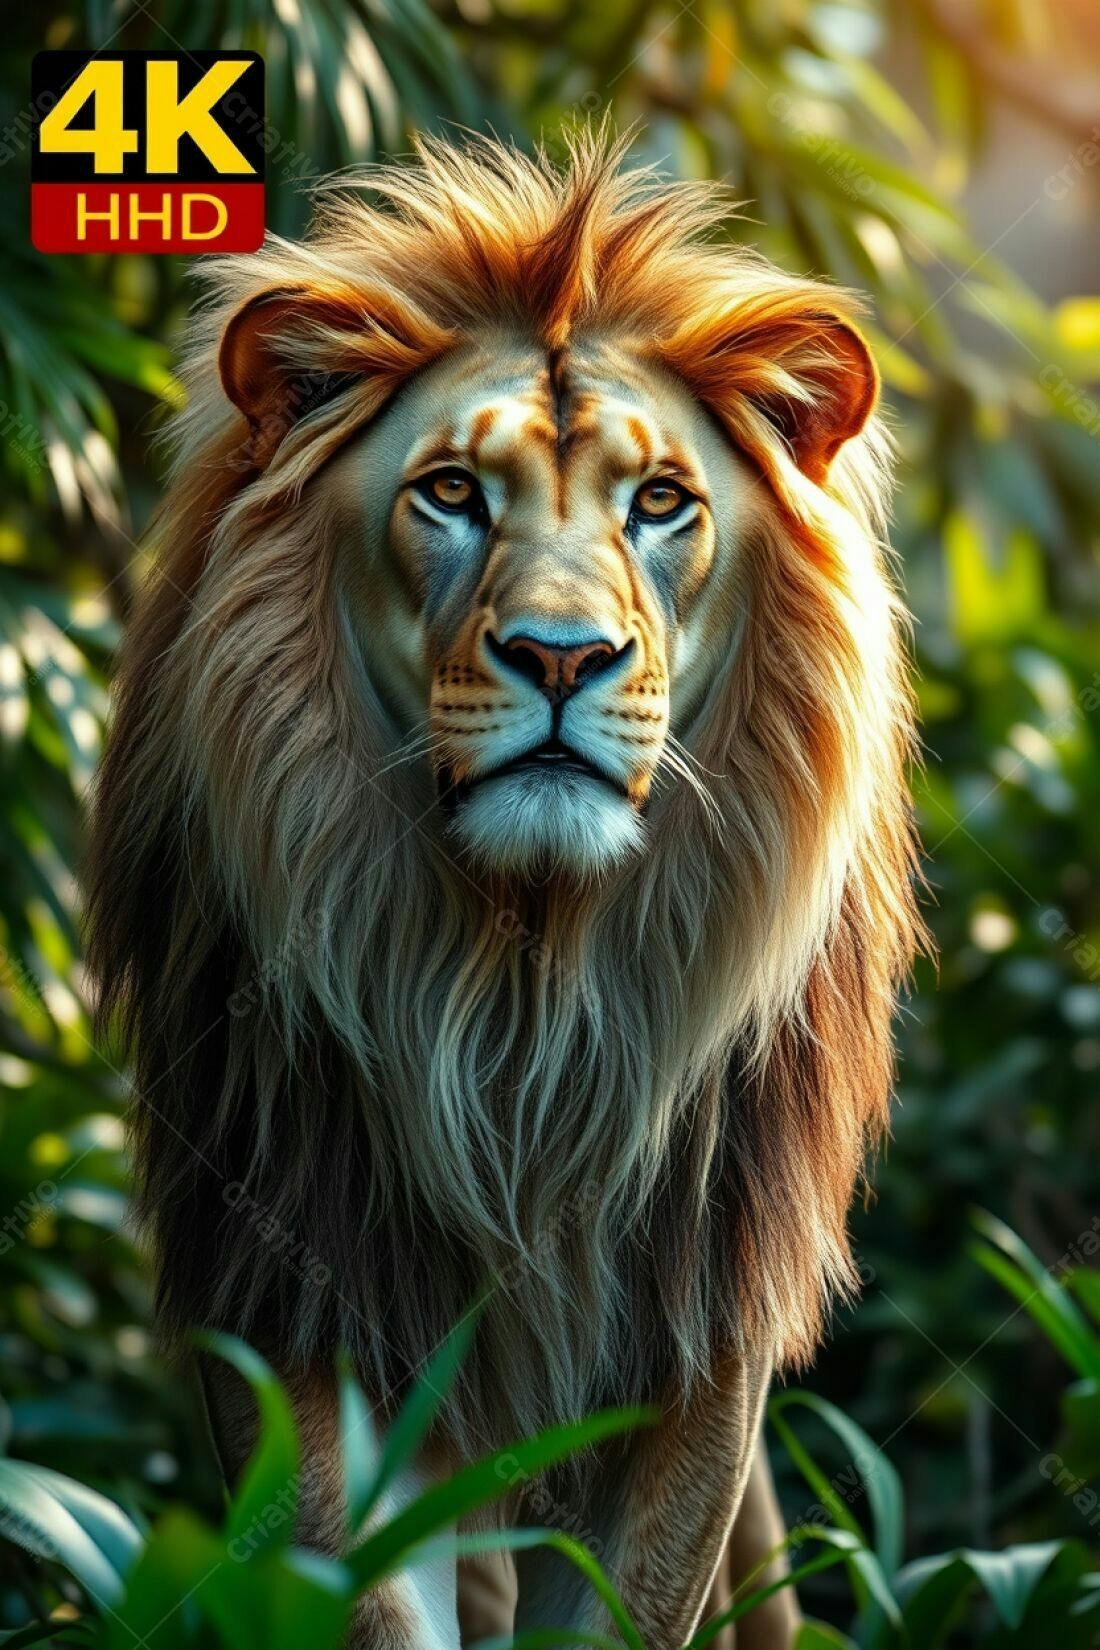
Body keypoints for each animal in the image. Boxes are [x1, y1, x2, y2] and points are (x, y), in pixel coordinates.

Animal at [86, 131, 920, 1648]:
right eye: (452, 493)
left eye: (660, 503)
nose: (560, 655)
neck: (519, 981)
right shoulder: (299, 1293)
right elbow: (357, 1592)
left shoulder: (688, 1345)